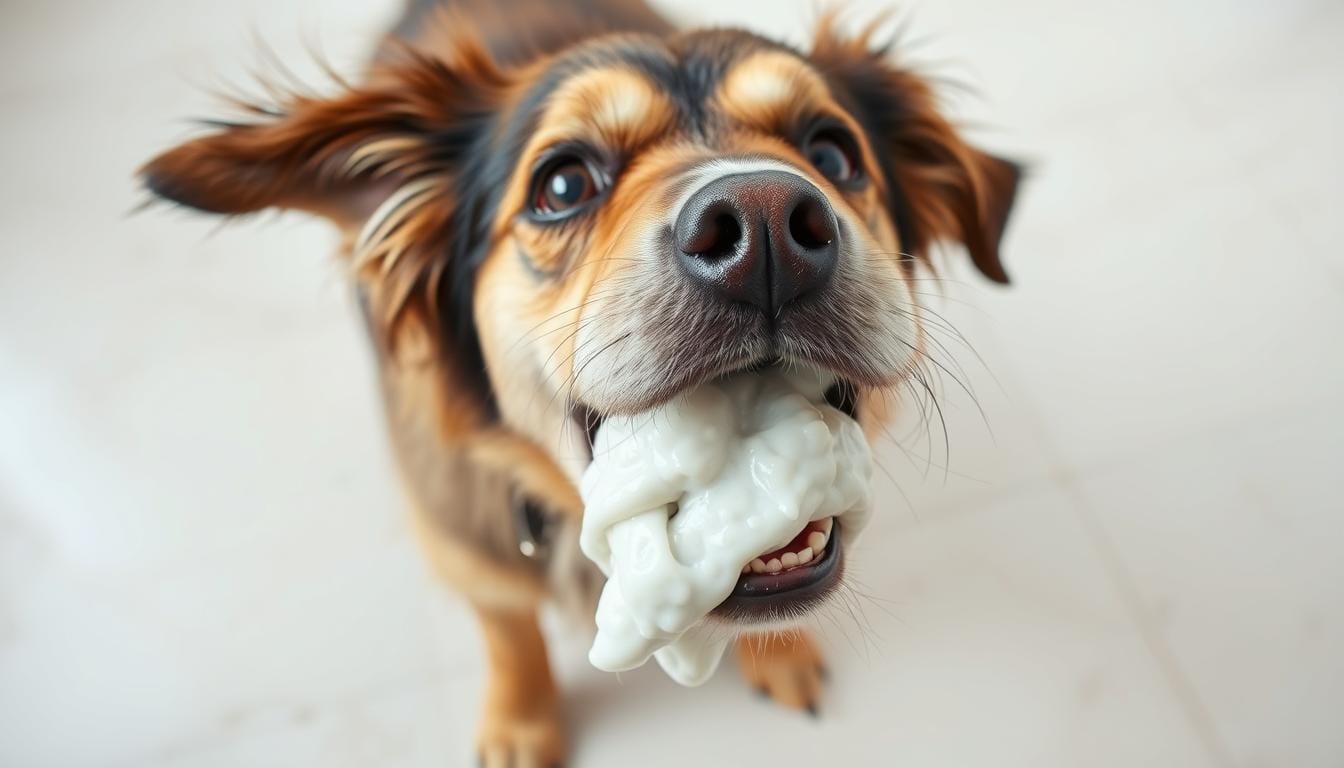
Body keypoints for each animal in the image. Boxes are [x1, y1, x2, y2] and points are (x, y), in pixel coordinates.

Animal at [139, 3, 1016, 763]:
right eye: (562, 185)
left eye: (833, 153)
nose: (766, 224)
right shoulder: (468, 548)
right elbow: (510, 636)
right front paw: (522, 723)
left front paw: (780, 654)